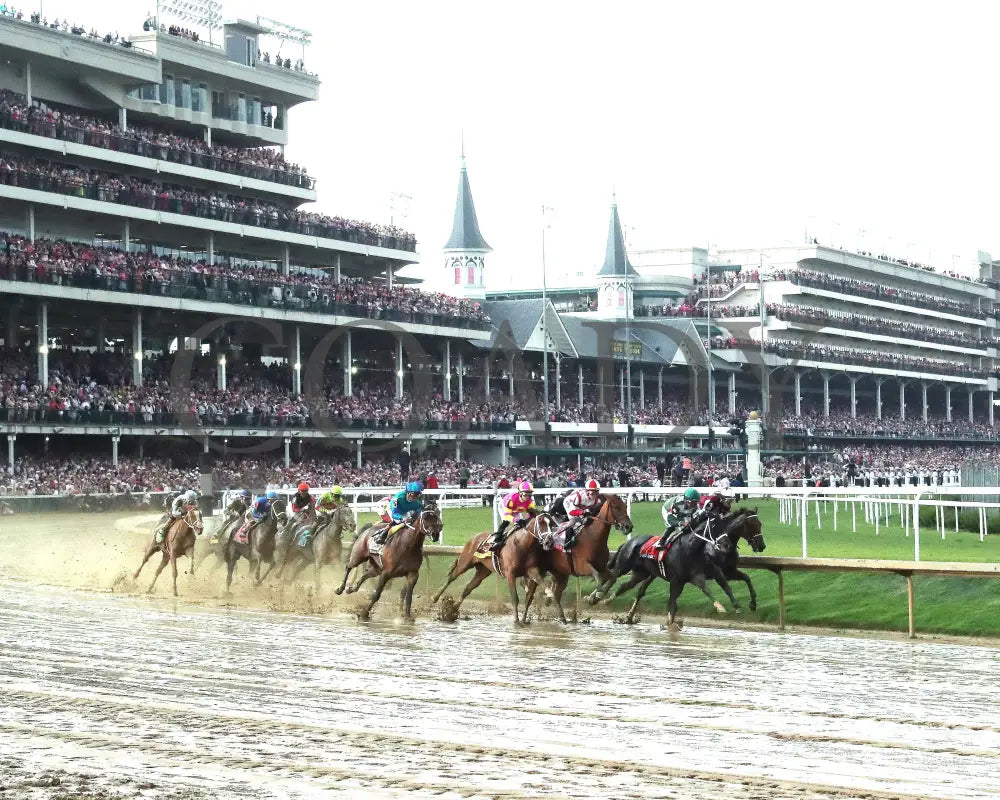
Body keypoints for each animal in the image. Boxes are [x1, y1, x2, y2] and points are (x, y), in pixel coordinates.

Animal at [532, 494, 632, 624]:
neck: (593, 537)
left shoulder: (602, 566)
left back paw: (555, 608)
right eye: (615, 506)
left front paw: (595, 598)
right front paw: (594, 596)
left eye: (625, 506)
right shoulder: (582, 566)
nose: (629, 526)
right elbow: (598, 578)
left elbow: (611, 578)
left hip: (561, 573)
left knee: (556, 591)